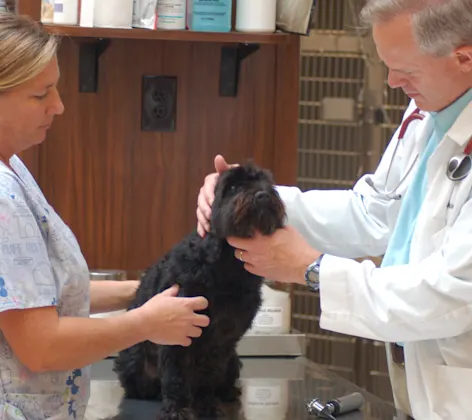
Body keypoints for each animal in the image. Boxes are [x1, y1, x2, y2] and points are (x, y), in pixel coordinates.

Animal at [112, 162, 286, 420]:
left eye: (267, 183)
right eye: (233, 187)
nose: (262, 195)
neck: (228, 267)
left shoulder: (222, 339)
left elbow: (207, 375)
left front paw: (207, 407)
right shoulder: (177, 331)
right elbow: (175, 376)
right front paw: (176, 410)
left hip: (232, 361)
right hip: (134, 362)